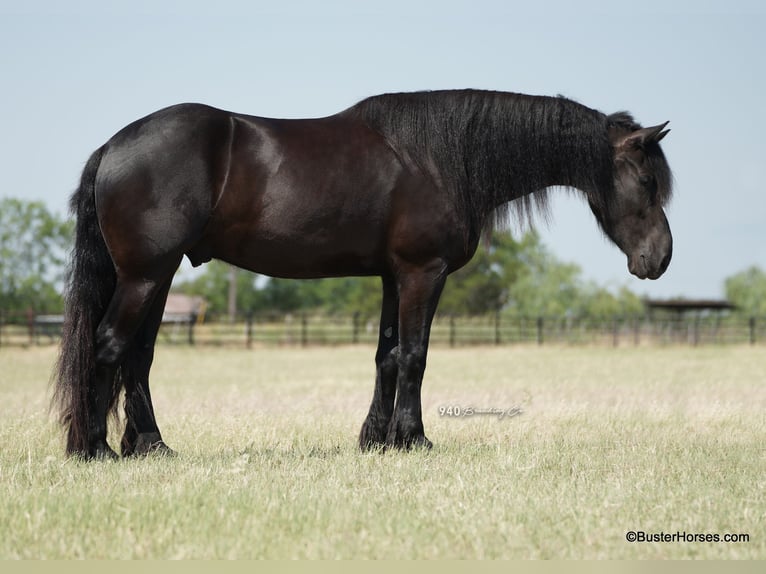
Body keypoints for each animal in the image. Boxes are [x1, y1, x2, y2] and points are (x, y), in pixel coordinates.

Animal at [51, 90, 672, 460]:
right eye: (647, 182)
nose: (660, 258)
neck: (440, 158)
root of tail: (112, 147)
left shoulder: (393, 277)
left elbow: (386, 355)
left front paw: (376, 440)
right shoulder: (424, 272)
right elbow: (415, 354)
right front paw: (414, 439)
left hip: (156, 278)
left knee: (137, 357)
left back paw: (150, 445)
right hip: (144, 276)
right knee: (108, 346)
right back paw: (94, 449)